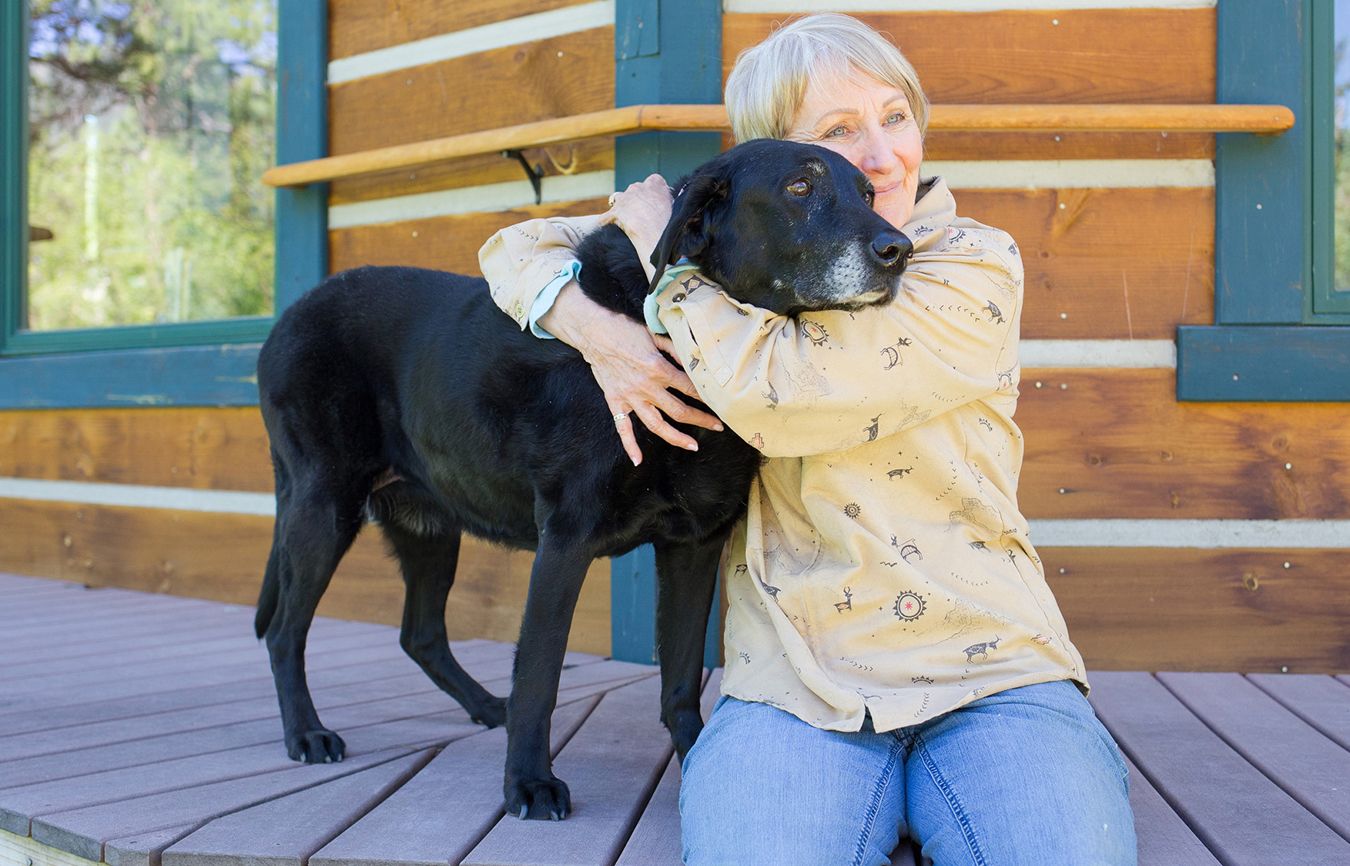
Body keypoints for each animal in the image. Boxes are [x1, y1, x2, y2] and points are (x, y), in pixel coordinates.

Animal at [249, 138, 912, 821]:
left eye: (868, 192)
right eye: (800, 188)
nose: (900, 251)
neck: (674, 344)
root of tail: (287, 318)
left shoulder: (692, 545)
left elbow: (680, 678)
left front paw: (693, 760)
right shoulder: (565, 540)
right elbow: (540, 673)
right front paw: (528, 783)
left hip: (428, 524)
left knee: (420, 634)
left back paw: (484, 706)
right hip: (324, 506)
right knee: (284, 632)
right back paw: (307, 733)